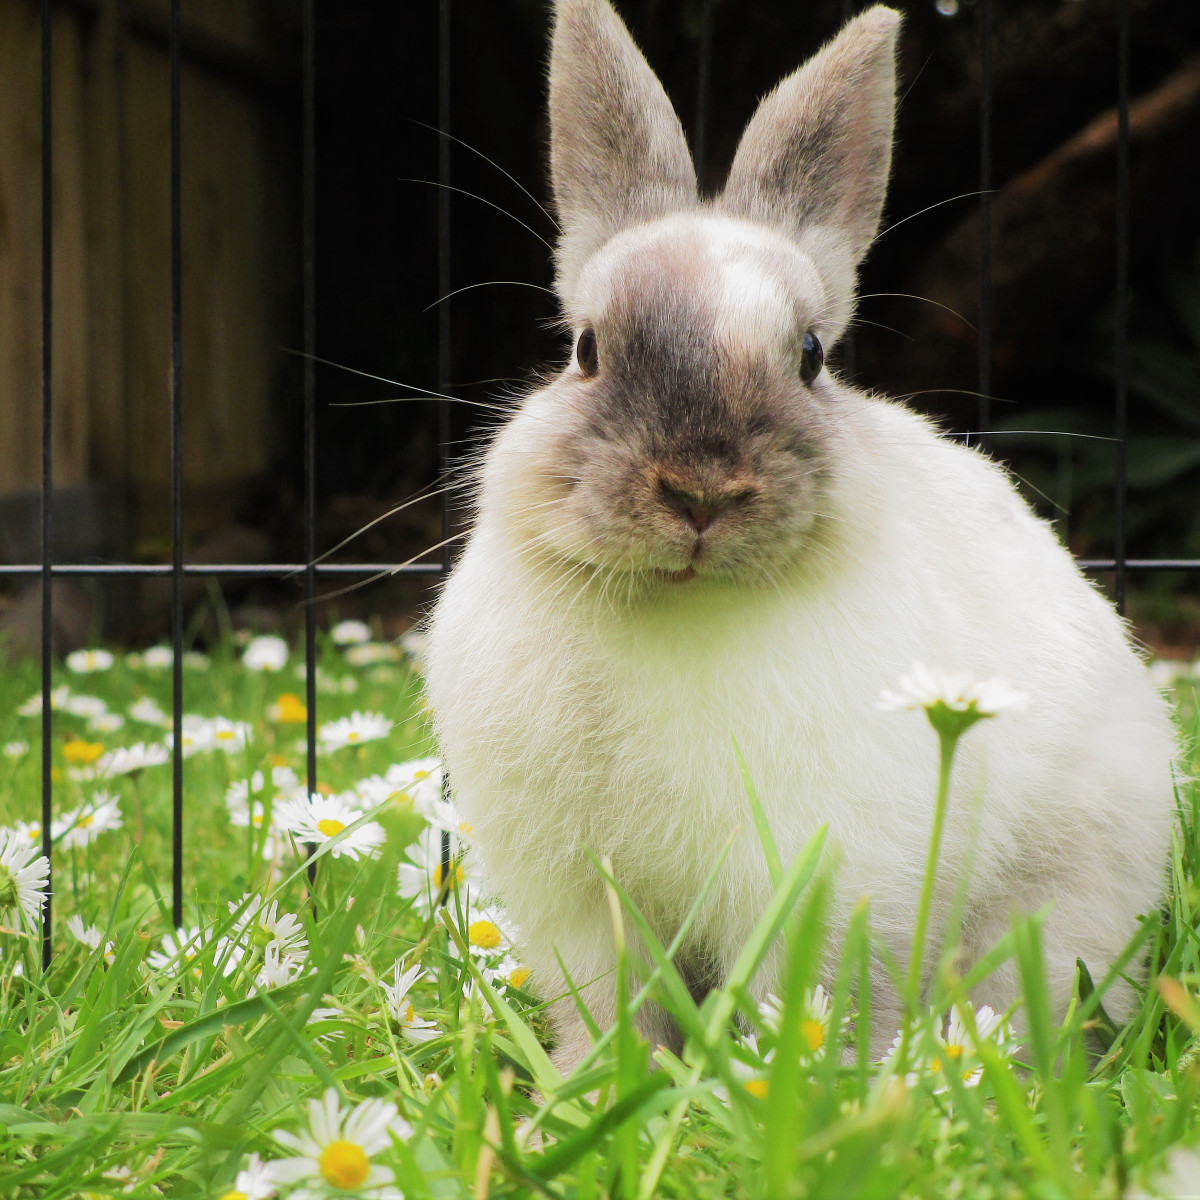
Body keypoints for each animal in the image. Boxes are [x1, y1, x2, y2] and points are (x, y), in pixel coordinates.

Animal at [424, 0, 1178, 1071]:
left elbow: (808, 991)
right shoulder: (579, 898)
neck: (681, 604)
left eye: (813, 356)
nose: (700, 491)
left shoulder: (823, 874)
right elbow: (613, 1006)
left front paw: (795, 1077)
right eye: (585, 350)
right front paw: (591, 1084)